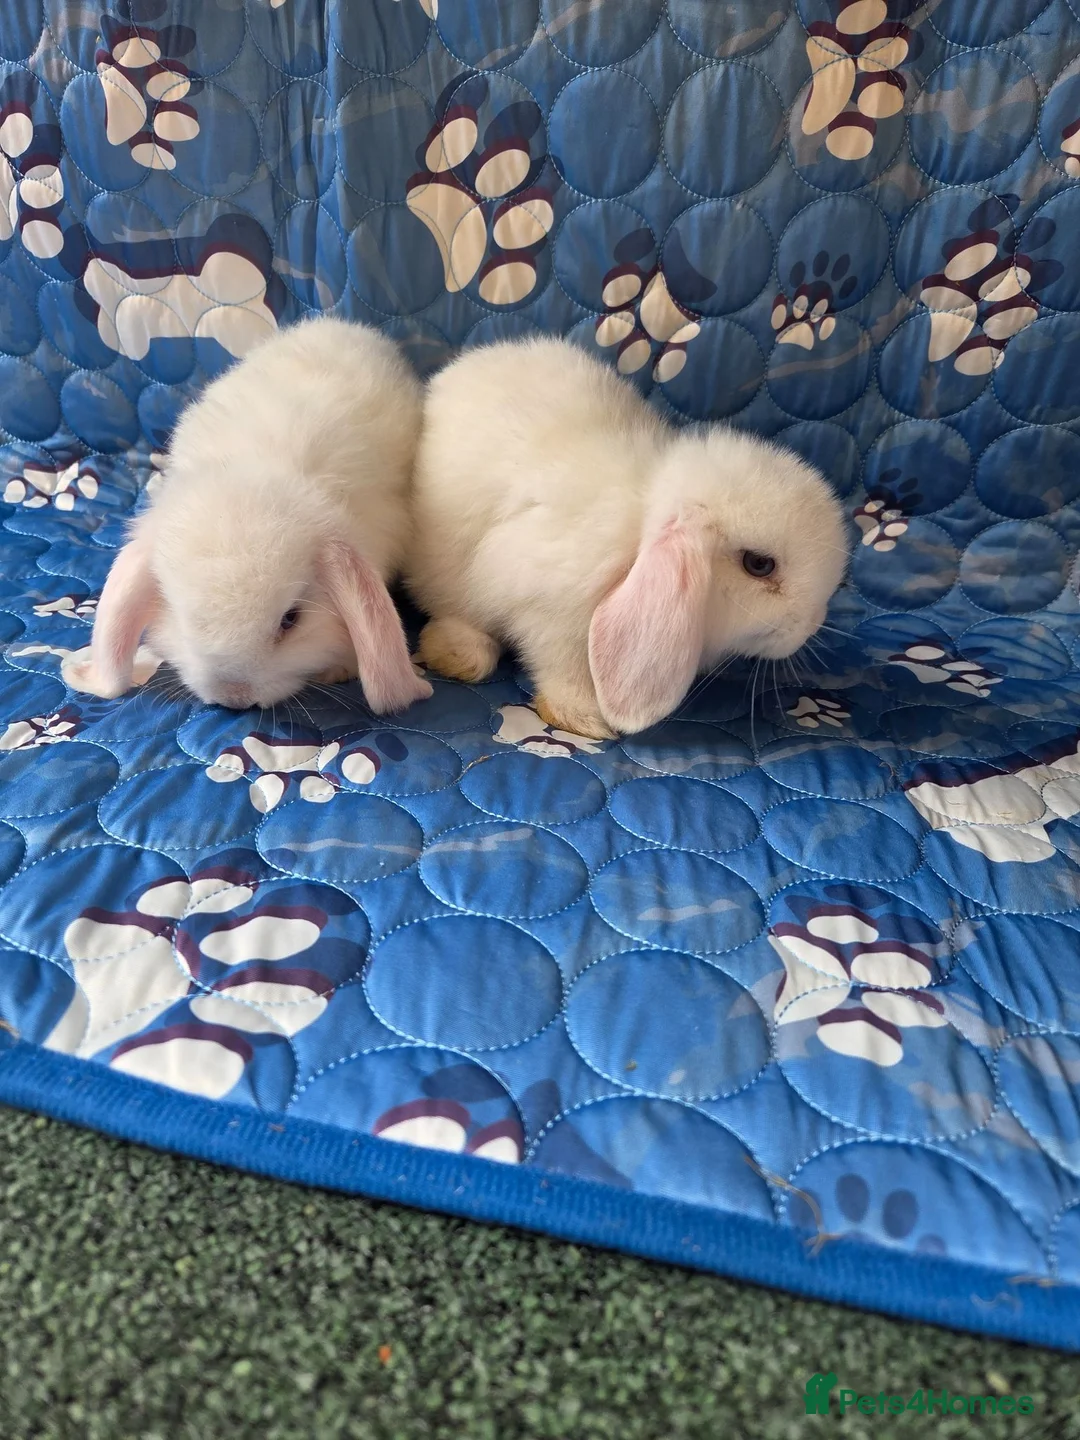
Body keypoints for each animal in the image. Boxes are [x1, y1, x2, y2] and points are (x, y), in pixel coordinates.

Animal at [70, 316, 432, 715]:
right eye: (178, 615)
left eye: (291, 619)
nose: (234, 697)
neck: (253, 475)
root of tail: (339, 324)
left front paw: (338, 670)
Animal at [407, 337, 847, 739]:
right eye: (759, 564)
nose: (811, 625)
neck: (640, 527)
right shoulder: (547, 614)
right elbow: (561, 666)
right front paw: (584, 718)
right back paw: (456, 653)